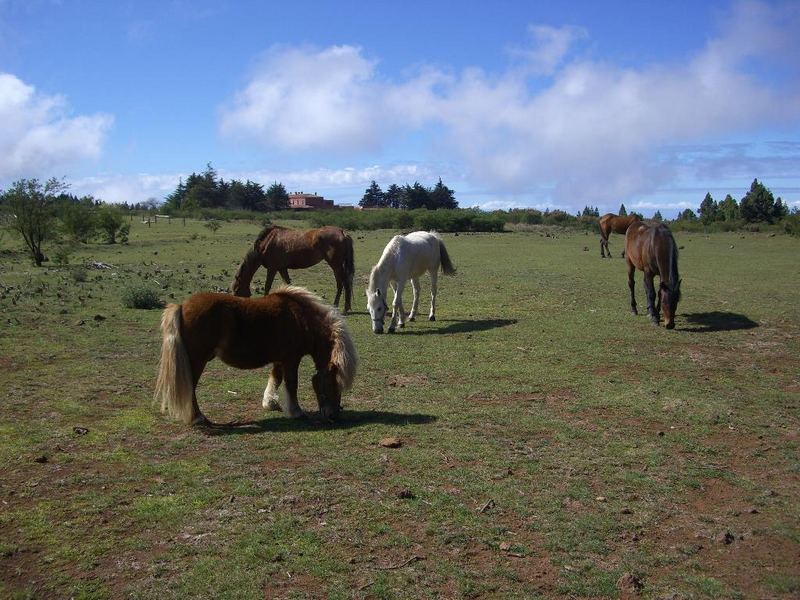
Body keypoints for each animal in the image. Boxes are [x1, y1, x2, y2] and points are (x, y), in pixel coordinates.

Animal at [156, 288, 356, 424]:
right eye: (332, 383)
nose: (333, 415)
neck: (301, 319)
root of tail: (182, 306)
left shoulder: (280, 359)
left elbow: (275, 378)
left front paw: (270, 403)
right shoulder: (291, 359)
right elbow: (292, 384)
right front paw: (297, 412)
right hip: (197, 360)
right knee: (190, 386)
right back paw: (198, 417)